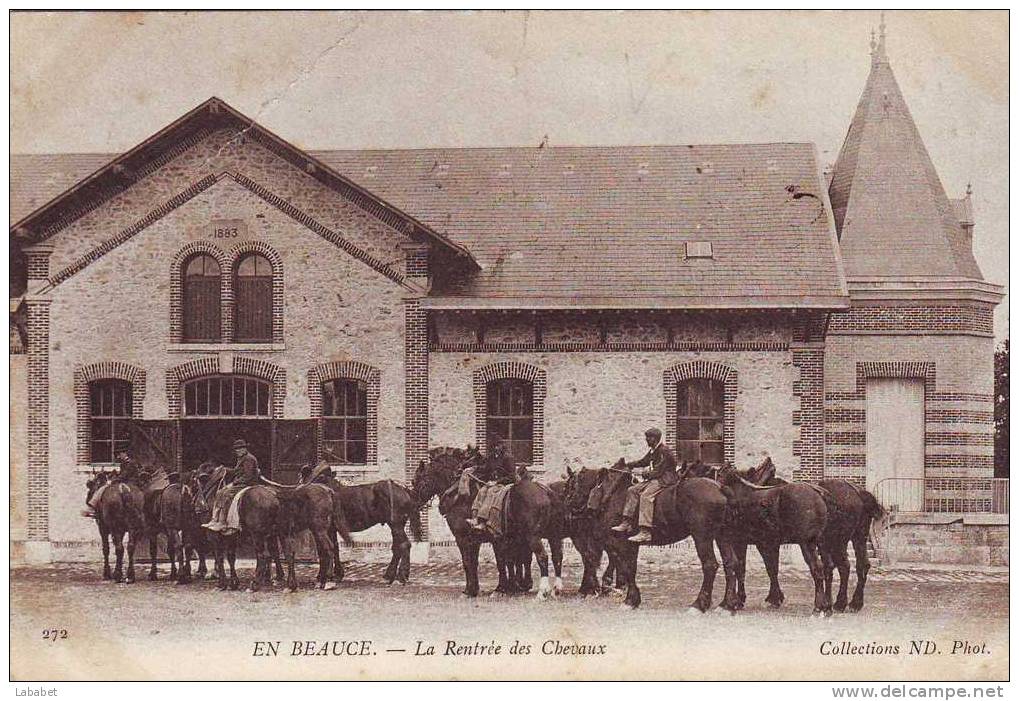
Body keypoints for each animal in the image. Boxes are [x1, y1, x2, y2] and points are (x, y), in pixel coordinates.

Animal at [415, 446, 574, 599]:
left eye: (417, 479)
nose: (415, 502)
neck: (460, 496)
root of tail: (546, 492)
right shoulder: (481, 540)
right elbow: (481, 562)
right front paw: (478, 589)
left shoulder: (464, 538)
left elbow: (472, 562)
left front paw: (480, 590)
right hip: (553, 535)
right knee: (557, 557)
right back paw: (555, 589)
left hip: (533, 536)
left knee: (542, 557)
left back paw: (542, 592)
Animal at [566, 456, 741, 611]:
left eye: (573, 483)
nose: (569, 505)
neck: (614, 493)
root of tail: (720, 488)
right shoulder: (630, 544)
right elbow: (630, 568)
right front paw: (632, 599)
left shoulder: (621, 543)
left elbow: (627, 567)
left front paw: (629, 600)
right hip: (722, 535)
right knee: (731, 563)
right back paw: (727, 604)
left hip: (702, 537)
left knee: (710, 565)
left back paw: (699, 604)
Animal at [713, 462, 831, 615]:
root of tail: (817, 493)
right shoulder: (754, 543)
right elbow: (755, 568)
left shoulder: (732, 541)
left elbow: (734, 567)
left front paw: (730, 602)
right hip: (822, 543)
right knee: (828, 567)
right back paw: (827, 604)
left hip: (807, 543)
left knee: (817, 568)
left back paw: (818, 606)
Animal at [733, 456, 884, 611]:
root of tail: (858, 492)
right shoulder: (770, 543)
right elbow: (772, 568)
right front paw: (775, 597)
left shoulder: (755, 543)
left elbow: (756, 568)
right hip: (857, 538)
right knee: (859, 565)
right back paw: (852, 603)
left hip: (836, 542)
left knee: (842, 566)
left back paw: (838, 603)